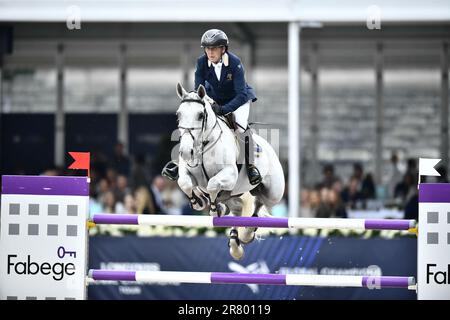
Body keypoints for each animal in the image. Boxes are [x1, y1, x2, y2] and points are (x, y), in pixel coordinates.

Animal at [176, 83, 284, 260]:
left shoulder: (230, 175)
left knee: (259, 204)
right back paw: (235, 240)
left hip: (273, 193)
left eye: (200, 115)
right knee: (239, 211)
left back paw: (246, 233)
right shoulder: (188, 173)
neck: (204, 144)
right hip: (235, 197)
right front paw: (198, 202)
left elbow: (212, 184)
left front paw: (214, 210)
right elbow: (184, 182)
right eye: (178, 115)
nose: (186, 152)